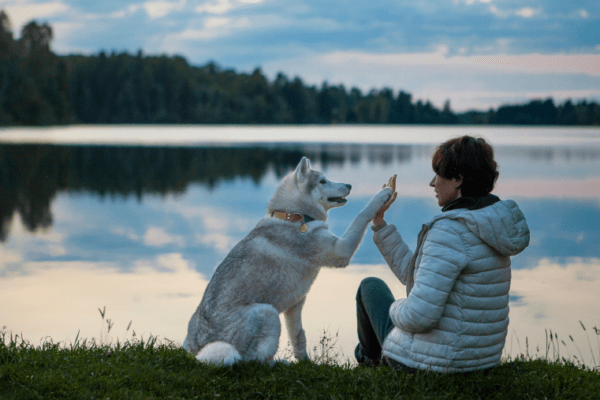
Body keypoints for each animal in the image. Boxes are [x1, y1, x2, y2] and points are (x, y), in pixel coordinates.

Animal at [183, 156, 394, 366]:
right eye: (322, 181)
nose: (349, 185)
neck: (294, 217)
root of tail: (198, 349)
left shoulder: (296, 304)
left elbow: (298, 336)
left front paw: (305, 361)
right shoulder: (341, 250)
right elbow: (362, 214)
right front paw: (381, 196)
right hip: (268, 313)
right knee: (253, 360)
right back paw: (277, 362)